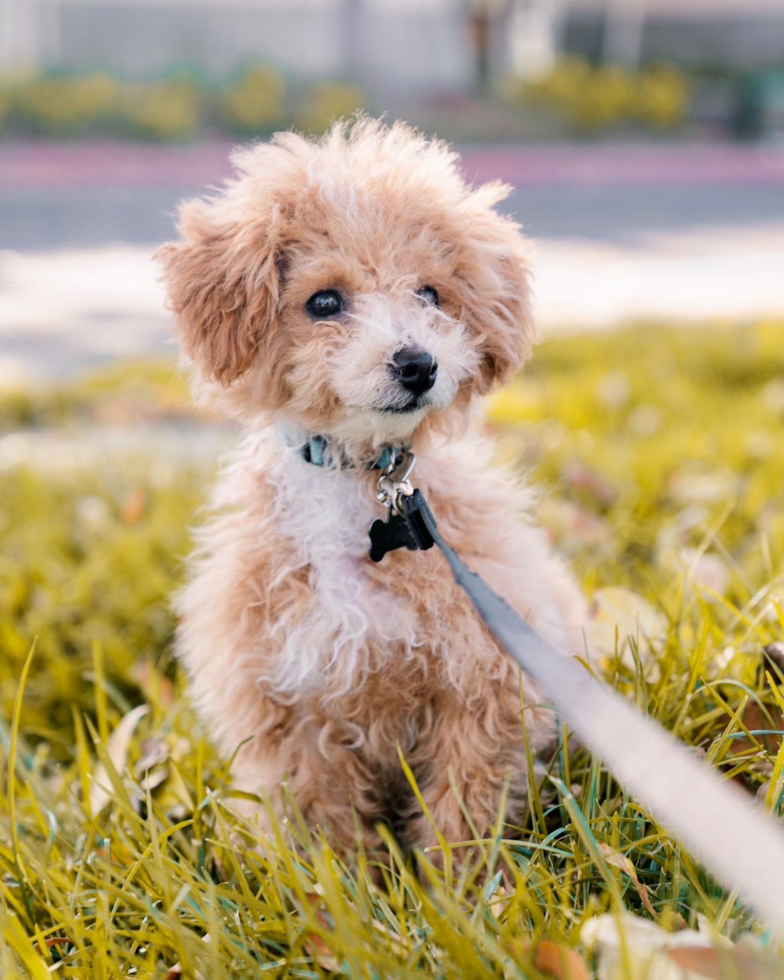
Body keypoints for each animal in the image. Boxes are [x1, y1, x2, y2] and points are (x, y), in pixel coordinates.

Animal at [158, 118, 588, 860]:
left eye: (431, 294)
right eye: (325, 302)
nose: (418, 363)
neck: (359, 480)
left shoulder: (485, 683)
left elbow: (463, 809)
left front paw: (454, 887)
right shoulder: (292, 704)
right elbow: (322, 827)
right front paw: (344, 890)